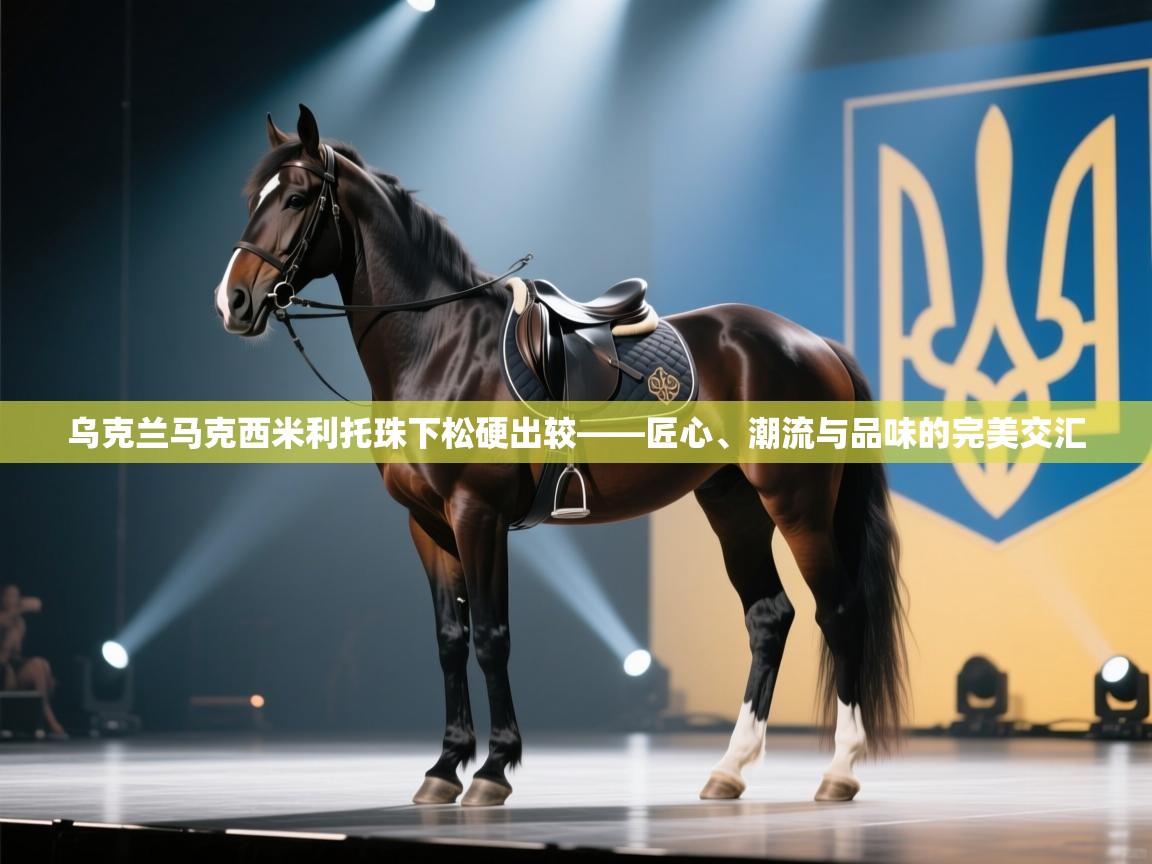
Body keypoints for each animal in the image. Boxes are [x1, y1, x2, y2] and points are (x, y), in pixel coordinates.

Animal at [214, 105, 907, 807]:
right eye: (254, 199)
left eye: (297, 198)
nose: (234, 301)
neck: (441, 347)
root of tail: (810, 340)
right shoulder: (428, 525)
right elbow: (449, 642)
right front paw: (445, 767)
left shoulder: (478, 515)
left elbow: (491, 639)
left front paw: (493, 769)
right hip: (734, 505)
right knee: (769, 617)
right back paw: (730, 768)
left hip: (797, 505)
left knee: (839, 611)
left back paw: (840, 770)